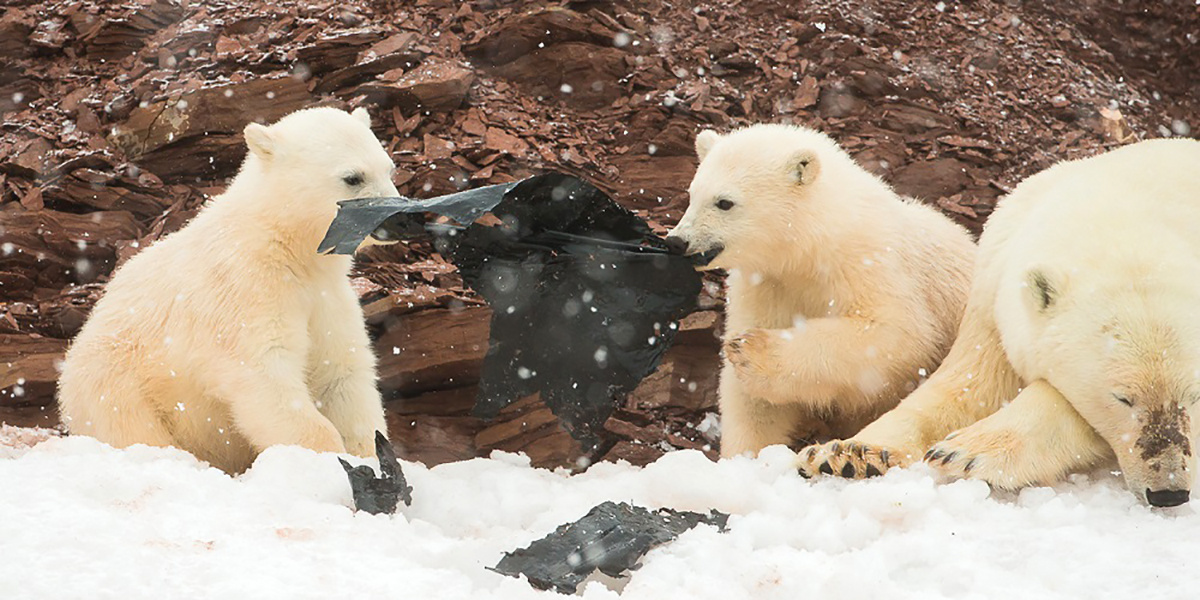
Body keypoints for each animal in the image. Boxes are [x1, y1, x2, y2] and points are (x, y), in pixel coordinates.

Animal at [59, 108, 393, 472]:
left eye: (389, 168)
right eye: (353, 177)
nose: (393, 219)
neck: (283, 246)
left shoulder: (327, 296)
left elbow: (342, 371)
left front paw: (371, 454)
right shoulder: (243, 292)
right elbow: (264, 375)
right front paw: (324, 460)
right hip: (118, 384)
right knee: (133, 425)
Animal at [667, 124, 974, 456]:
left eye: (724, 202)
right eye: (691, 194)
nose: (677, 240)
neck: (813, 248)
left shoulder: (871, 266)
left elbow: (895, 334)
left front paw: (751, 351)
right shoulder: (766, 284)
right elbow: (752, 400)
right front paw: (746, 456)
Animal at [801, 139, 1200, 506]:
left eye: (1195, 395)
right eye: (1123, 398)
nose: (1169, 492)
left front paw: (967, 452)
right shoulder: (993, 290)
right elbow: (968, 387)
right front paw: (846, 454)